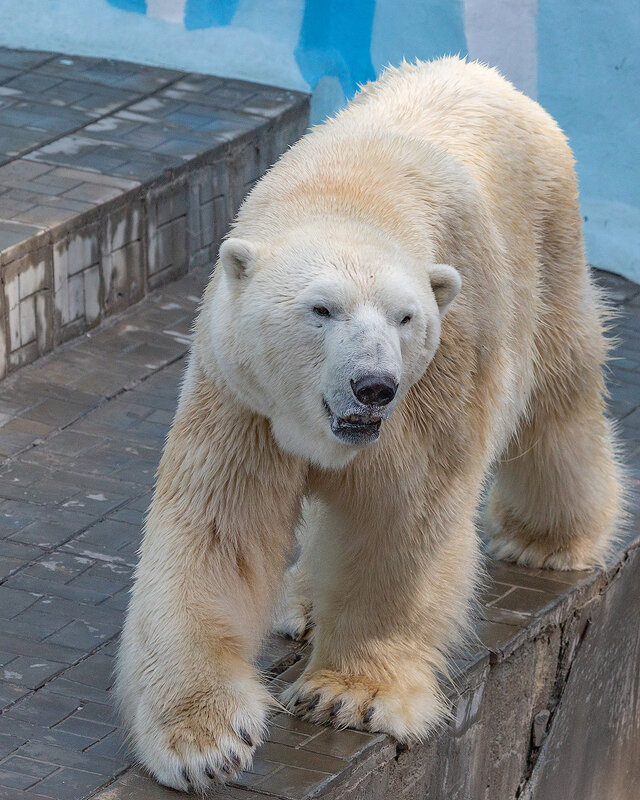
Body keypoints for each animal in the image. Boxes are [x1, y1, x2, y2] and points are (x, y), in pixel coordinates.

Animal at [115, 59, 620, 792]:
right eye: (321, 309)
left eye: (405, 317)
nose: (374, 386)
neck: (355, 193)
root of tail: (484, 74)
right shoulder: (241, 396)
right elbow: (220, 530)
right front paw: (203, 743)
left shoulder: (439, 375)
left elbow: (402, 516)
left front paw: (348, 696)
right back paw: (301, 602)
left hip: (546, 246)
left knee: (558, 392)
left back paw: (545, 539)